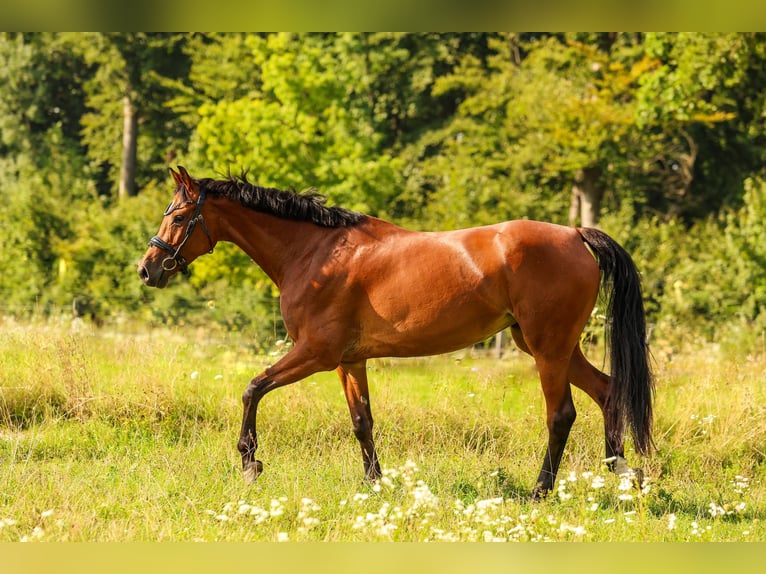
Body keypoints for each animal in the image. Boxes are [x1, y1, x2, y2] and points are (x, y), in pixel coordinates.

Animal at [137, 166, 655, 498]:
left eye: (179, 217)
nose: (148, 269)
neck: (316, 253)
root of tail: (575, 235)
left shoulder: (315, 353)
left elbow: (253, 388)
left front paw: (250, 463)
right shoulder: (349, 361)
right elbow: (361, 422)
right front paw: (376, 483)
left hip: (548, 349)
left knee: (561, 415)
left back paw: (541, 491)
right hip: (550, 346)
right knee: (608, 392)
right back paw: (623, 477)